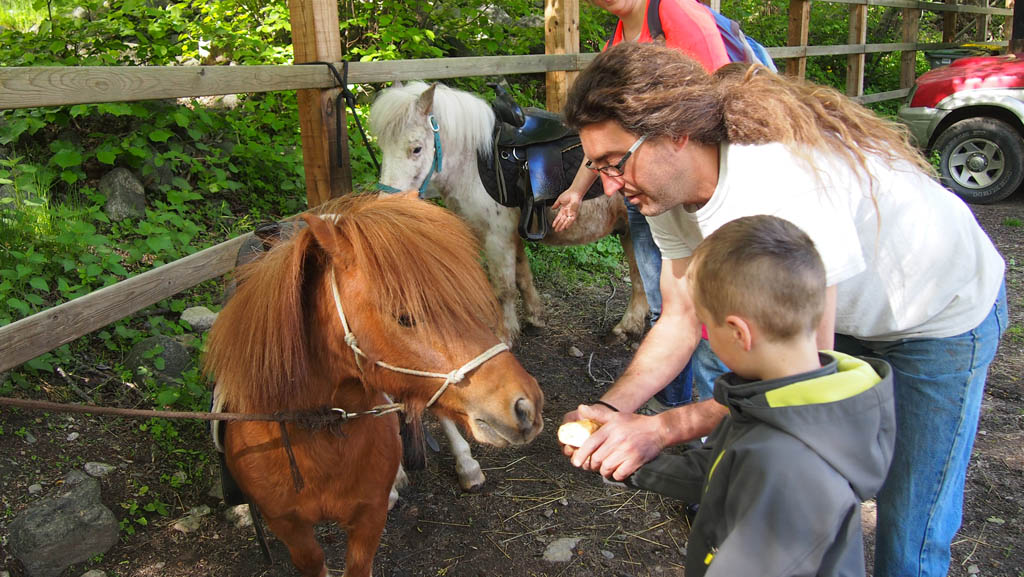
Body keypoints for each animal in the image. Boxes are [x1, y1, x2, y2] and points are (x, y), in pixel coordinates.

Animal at [205, 193, 544, 577]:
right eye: (404, 317)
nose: (526, 405)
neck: (319, 433)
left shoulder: (368, 521)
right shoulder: (292, 531)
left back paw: (464, 466)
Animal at [370, 83, 647, 493]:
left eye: (416, 148)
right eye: (382, 146)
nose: (387, 207)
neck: (474, 161)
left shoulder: (495, 235)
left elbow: (502, 286)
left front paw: (506, 334)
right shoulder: (514, 232)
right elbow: (522, 273)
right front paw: (534, 317)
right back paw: (629, 327)